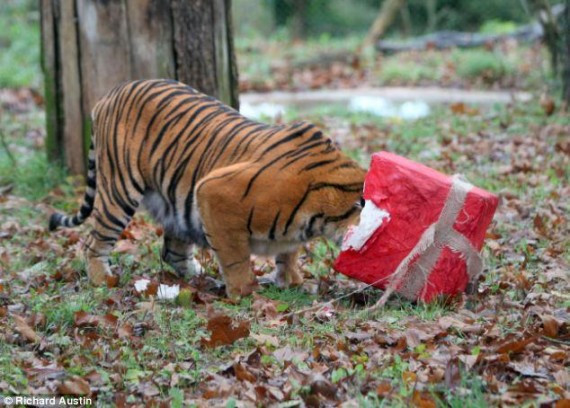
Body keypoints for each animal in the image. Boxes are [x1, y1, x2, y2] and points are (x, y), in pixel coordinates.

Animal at [48, 79, 364, 296]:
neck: (321, 216)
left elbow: (288, 254)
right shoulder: (215, 191)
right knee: (94, 241)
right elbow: (235, 257)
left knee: (172, 251)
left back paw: (198, 278)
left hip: (174, 203)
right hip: (119, 190)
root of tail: (110, 95)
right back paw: (103, 279)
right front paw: (246, 293)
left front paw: (292, 282)